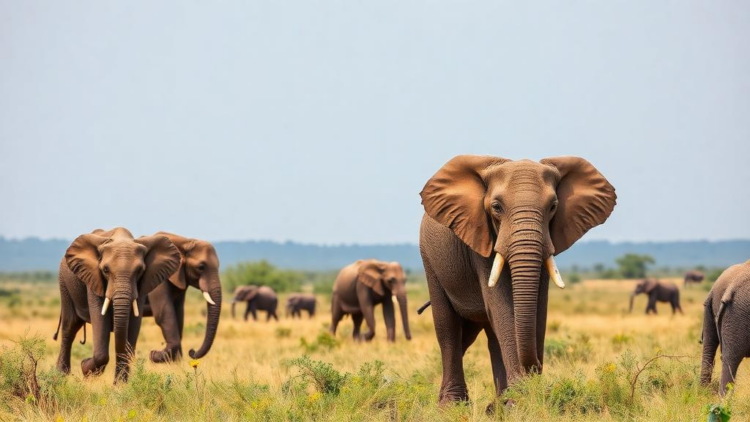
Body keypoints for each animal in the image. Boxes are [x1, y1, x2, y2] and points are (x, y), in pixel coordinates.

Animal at [53, 228, 180, 383]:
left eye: (139, 270)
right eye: (105, 270)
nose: (84, 362)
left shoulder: (142, 284)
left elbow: (133, 325)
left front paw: (120, 385)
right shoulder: (94, 278)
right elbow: (100, 320)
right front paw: (85, 369)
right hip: (64, 284)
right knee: (70, 327)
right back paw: (60, 376)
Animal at [141, 232, 223, 363]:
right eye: (201, 267)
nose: (192, 351)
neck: (184, 242)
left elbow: (178, 314)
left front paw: (174, 361)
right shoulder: (159, 276)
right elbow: (164, 313)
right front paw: (155, 355)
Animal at [419, 156, 616, 405]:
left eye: (553, 207)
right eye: (496, 207)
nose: (536, 368)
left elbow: (538, 309)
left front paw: (521, 398)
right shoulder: (482, 237)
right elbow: (501, 306)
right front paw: (520, 399)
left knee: (486, 334)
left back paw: (495, 404)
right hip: (430, 260)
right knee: (447, 326)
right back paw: (451, 405)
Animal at [701, 260, 750, 395]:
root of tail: (732, 287)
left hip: (712, 303)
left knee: (709, 346)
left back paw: (703, 392)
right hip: (739, 312)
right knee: (731, 358)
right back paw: (725, 399)